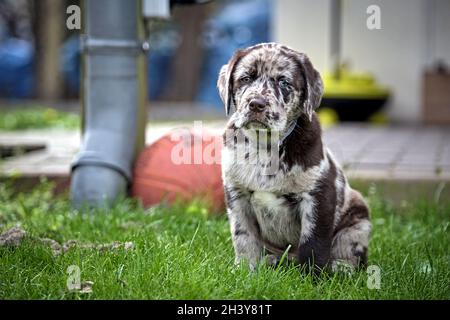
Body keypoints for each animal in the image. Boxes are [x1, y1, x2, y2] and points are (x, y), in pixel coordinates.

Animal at [216, 43, 370, 272]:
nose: (256, 104)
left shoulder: (317, 196)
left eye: (284, 82)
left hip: (359, 220)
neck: (266, 146)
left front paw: (312, 276)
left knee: (351, 251)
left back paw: (341, 268)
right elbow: (243, 237)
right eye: (245, 78)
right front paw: (245, 269)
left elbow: (313, 243)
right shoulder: (237, 195)